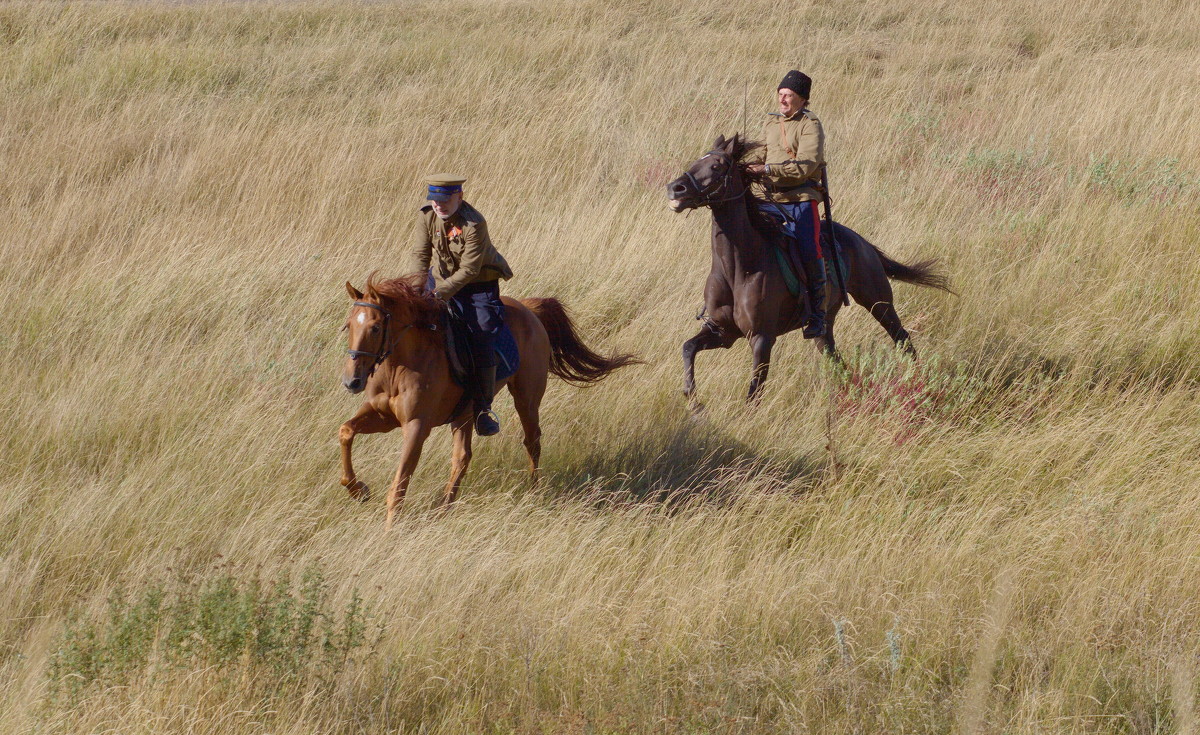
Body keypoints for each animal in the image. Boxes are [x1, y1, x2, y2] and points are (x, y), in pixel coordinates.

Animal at [338, 272, 638, 526]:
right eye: (348, 325)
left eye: (376, 328)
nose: (352, 382)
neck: (399, 366)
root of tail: (529, 309)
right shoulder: (383, 416)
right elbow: (346, 431)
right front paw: (359, 490)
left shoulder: (416, 425)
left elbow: (399, 483)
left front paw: (390, 530)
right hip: (464, 414)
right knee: (462, 457)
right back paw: (444, 508)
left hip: (526, 398)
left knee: (532, 441)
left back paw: (533, 491)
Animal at [667, 135, 955, 405]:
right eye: (696, 161)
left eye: (717, 165)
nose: (675, 189)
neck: (739, 268)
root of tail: (862, 242)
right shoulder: (723, 332)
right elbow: (688, 347)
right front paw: (694, 402)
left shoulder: (761, 338)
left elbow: (754, 392)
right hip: (825, 327)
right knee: (838, 361)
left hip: (879, 302)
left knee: (903, 340)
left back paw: (917, 384)